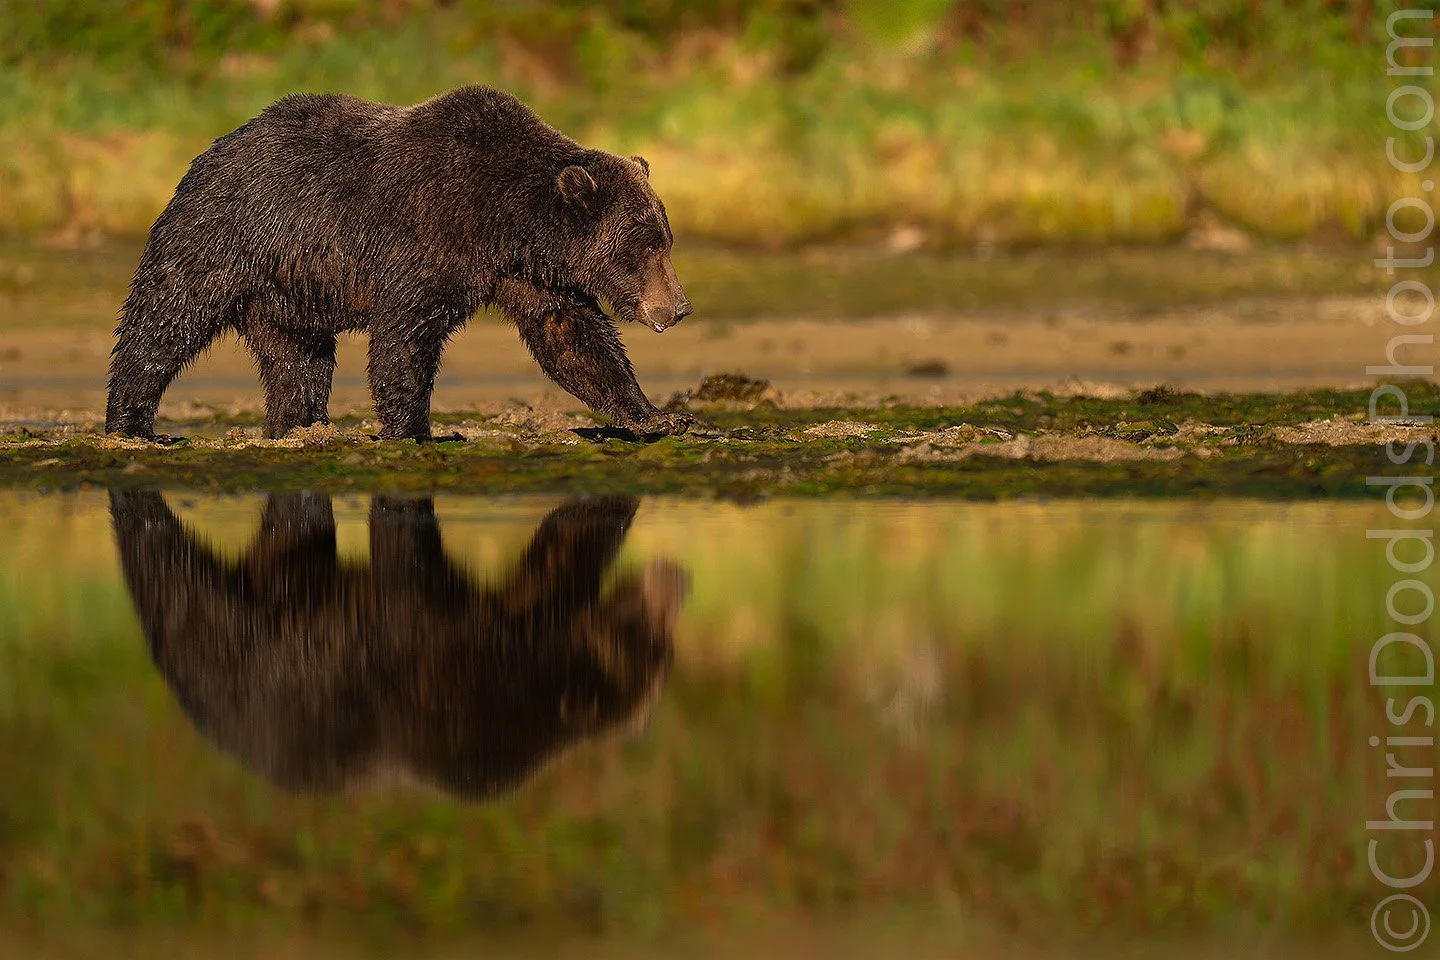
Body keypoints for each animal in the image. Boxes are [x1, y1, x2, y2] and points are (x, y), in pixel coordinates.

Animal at [104, 85, 696, 442]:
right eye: (646, 245)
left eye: (664, 238)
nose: (679, 307)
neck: (505, 217)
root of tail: (206, 153)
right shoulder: (428, 236)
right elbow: (404, 335)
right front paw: (414, 428)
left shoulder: (524, 272)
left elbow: (572, 335)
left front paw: (661, 416)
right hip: (225, 234)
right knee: (165, 317)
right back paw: (132, 422)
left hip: (288, 292)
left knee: (298, 360)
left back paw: (298, 424)